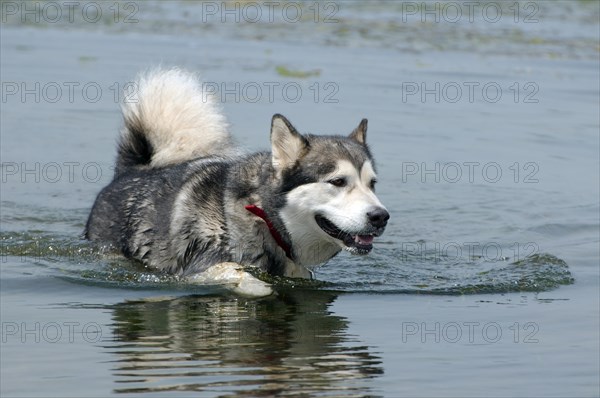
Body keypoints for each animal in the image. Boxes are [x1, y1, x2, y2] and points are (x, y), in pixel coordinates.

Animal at [85, 68, 390, 296]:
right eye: (337, 181)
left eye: (372, 184)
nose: (380, 217)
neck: (264, 218)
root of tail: (132, 169)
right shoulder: (194, 269)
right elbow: (239, 274)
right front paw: (257, 286)